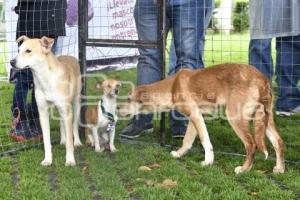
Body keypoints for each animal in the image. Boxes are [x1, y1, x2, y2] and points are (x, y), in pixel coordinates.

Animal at [118, 63, 284, 173]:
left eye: (128, 99)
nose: (117, 108)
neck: (172, 87)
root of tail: (261, 78)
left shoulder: (196, 116)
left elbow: (205, 141)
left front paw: (207, 162)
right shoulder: (196, 117)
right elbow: (187, 140)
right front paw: (179, 154)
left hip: (236, 117)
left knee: (251, 144)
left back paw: (244, 169)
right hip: (264, 119)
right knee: (278, 142)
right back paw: (279, 168)